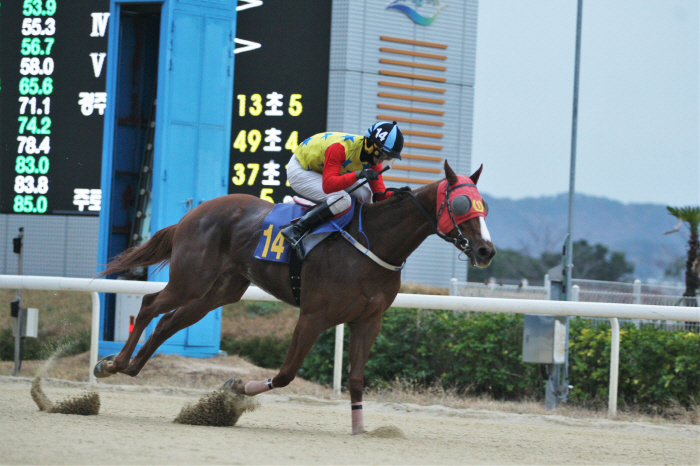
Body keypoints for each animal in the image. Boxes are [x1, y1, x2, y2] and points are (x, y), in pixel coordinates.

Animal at [94, 162, 498, 436]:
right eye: (462, 204)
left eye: (485, 206)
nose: (485, 250)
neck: (375, 242)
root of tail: (193, 212)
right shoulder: (314, 316)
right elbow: (286, 374)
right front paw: (235, 389)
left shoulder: (368, 320)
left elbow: (355, 378)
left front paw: (360, 429)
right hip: (191, 280)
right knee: (150, 306)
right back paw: (112, 364)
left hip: (219, 290)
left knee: (168, 321)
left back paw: (129, 367)